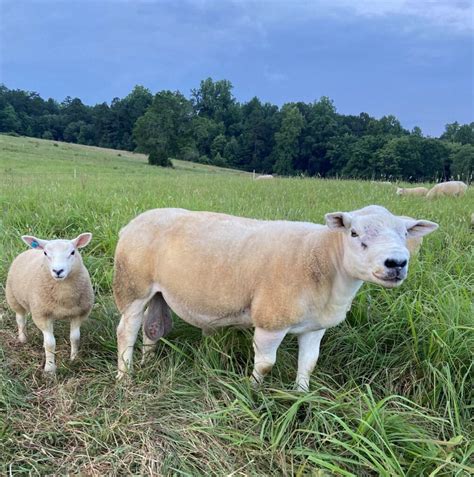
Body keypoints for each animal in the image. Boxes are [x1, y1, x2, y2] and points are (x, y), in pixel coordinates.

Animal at [5, 232, 93, 374]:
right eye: (46, 253)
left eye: (72, 252)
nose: (58, 271)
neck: (64, 297)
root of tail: (30, 250)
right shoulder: (41, 315)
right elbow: (50, 343)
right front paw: (50, 368)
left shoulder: (79, 314)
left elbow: (75, 338)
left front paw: (74, 359)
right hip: (13, 298)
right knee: (20, 319)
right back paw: (23, 338)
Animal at [113, 206, 438, 388]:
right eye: (354, 233)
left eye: (405, 233)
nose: (396, 263)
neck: (325, 261)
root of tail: (132, 223)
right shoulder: (271, 321)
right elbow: (266, 364)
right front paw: (252, 391)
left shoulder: (315, 327)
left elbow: (309, 363)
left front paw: (302, 396)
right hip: (132, 285)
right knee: (126, 330)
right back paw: (125, 375)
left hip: (157, 292)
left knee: (153, 328)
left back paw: (148, 363)